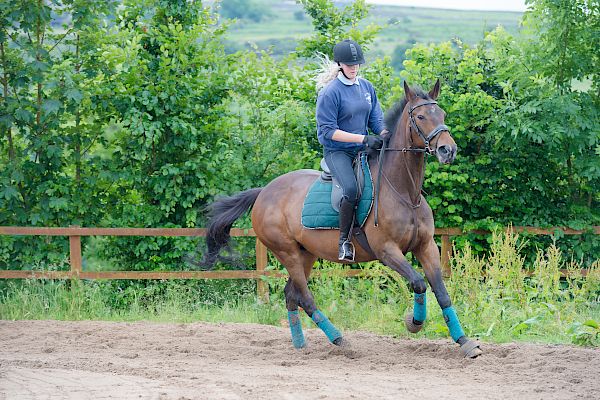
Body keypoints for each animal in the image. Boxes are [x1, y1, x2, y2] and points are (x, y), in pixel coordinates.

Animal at [202, 79, 482, 358]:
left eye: (442, 114)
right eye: (421, 116)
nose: (448, 150)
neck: (404, 192)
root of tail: (263, 192)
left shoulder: (425, 247)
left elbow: (441, 292)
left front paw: (465, 341)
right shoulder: (387, 251)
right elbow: (419, 283)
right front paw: (414, 323)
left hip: (305, 253)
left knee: (291, 294)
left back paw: (301, 345)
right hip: (287, 252)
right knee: (305, 297)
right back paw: (339, 340)